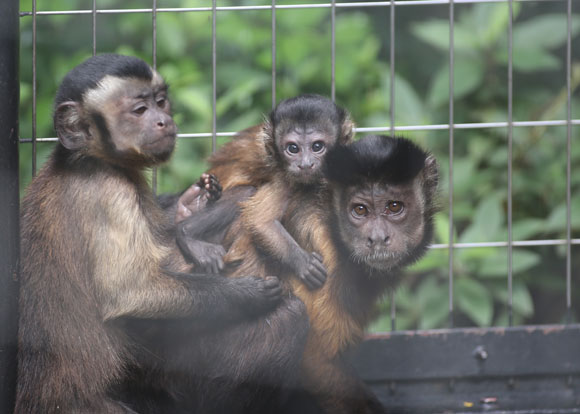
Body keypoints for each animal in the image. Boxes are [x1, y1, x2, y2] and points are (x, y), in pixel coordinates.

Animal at [15, 54, 284, 414]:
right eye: (140, 110)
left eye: (161, 102)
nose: (163, 120)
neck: (86, 159)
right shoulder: (109, 194)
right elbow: (130, 294)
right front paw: (245, 294)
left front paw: (193, 202)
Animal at [177, 94, 356, 288]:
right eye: (293, 148)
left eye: (317, 146)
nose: (305, 164)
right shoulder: (284, 177)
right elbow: (260, 221)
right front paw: (303, 263)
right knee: (247, 192)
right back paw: (186, 228)